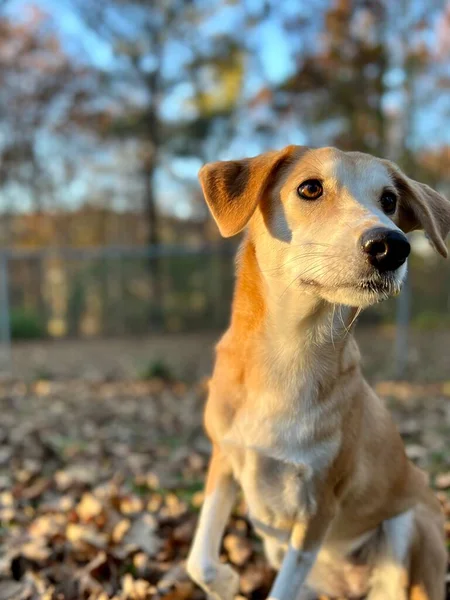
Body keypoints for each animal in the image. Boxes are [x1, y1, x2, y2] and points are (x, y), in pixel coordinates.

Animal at [186, 146, 450, 600]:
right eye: (310, 188)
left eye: (389, 201)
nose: (391, 246)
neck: (289, 355)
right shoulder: (225, 457)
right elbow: (198, 558)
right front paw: (224, 581)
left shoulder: (318, 508)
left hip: (409, 530)